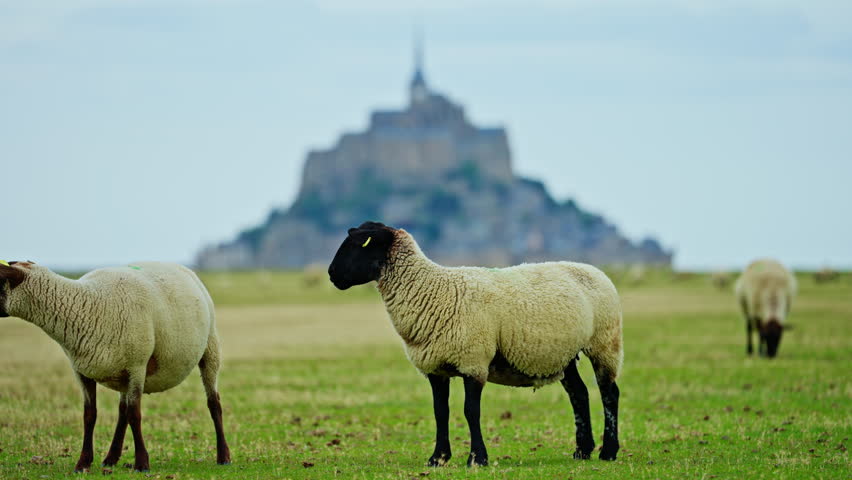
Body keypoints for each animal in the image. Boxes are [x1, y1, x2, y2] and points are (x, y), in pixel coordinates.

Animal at [0, 260, 231, 472]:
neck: (85, 303)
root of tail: (181, 267)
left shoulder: (138, 366)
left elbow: (135, 414)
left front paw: (142, 463)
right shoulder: (82, 370)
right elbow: (90, 415)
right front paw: (83, 463)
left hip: (210, 348)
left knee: (214, 402)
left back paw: (224, 456)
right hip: (122, 373)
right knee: (122, 411)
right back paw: (111, 458)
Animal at [328, 221, 623, 466]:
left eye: (359, 244)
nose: (331, 275)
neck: (431, 289)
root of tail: (593, 268)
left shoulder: (474, 362)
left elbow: (471, 411)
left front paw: (477, 459)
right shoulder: (435, 368)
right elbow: (440, 412)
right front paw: (438, 458)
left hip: (605, 341)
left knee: (609, 393)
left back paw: (608, 452)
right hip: (563, 353)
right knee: (579, 393)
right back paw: (582, 451)